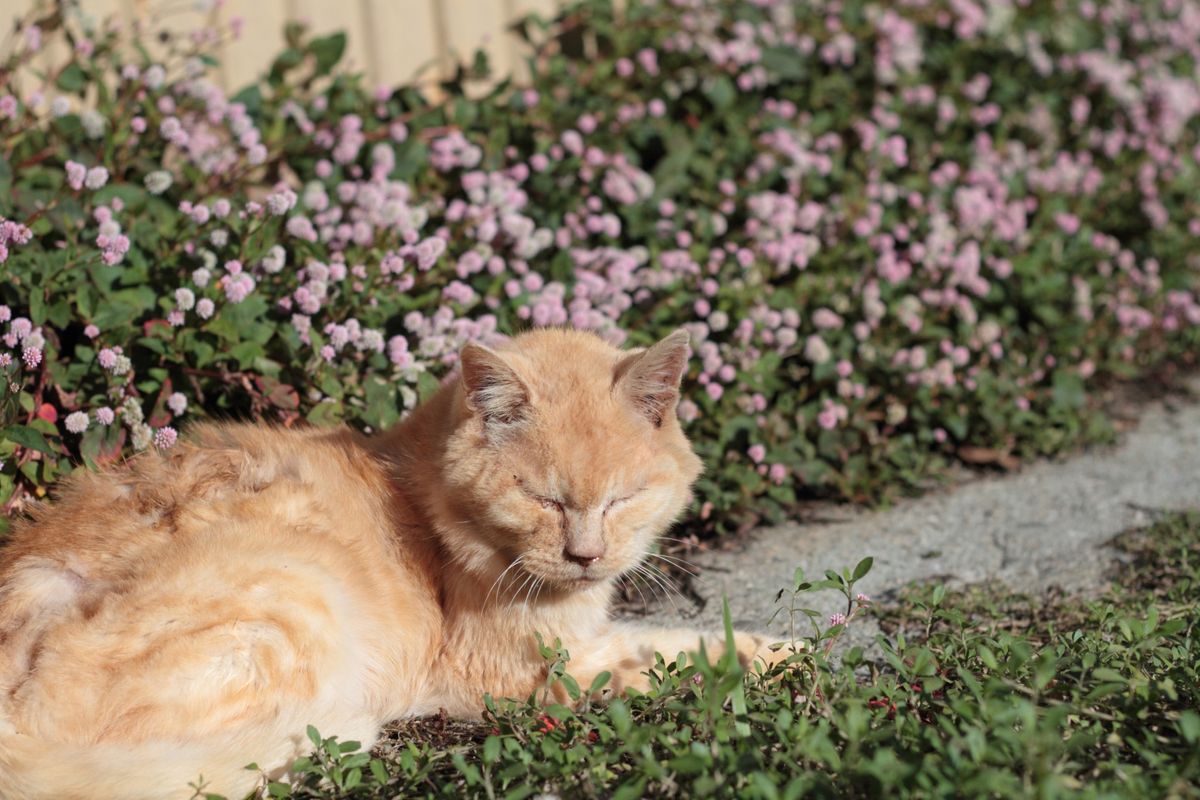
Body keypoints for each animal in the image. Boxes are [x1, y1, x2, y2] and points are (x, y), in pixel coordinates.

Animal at [0, 326, 777, 800]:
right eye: (542, 498)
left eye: (623, 499)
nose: (585, 556)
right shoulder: (524, 675)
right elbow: (685, 656)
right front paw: (783, 657)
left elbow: (685, 641)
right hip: (294, 602)